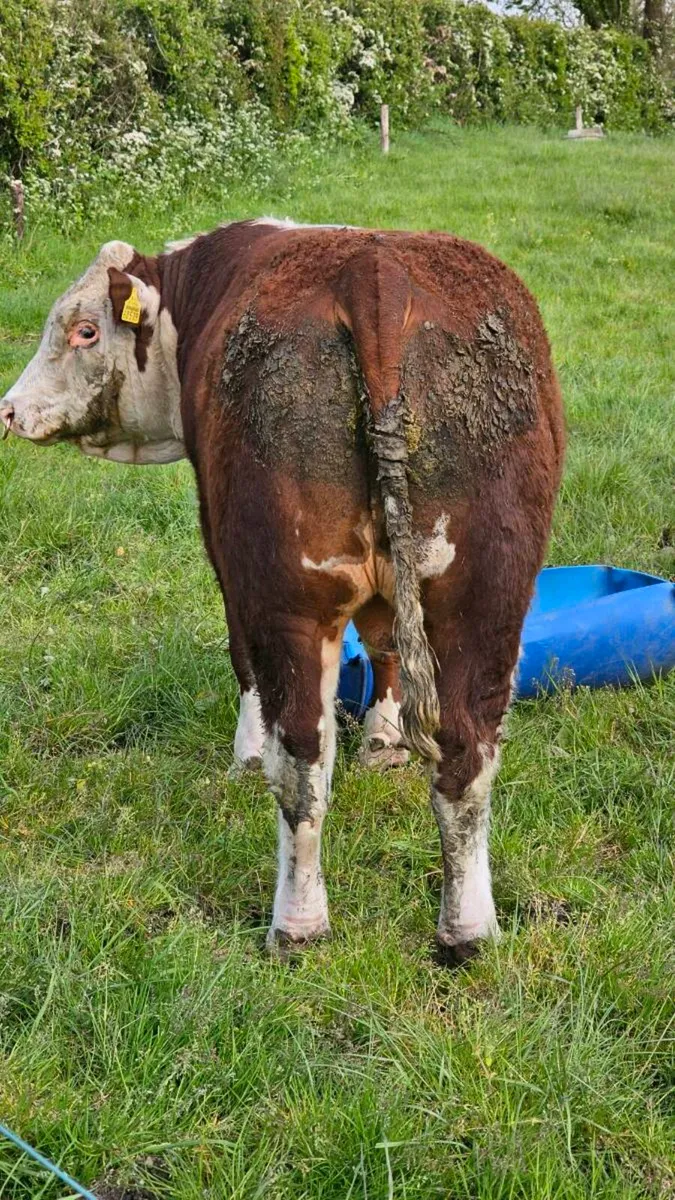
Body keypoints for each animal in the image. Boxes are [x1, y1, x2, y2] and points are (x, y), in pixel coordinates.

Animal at [1, 220, 564, 963]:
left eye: (84, 330)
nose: (10, 410)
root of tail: (376, 273)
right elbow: (385, 643)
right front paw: (385, 742)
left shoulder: (222, 540)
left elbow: (243, 660)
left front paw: (246, 753)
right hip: (484, 598)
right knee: (465, 755)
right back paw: (467, 932)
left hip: (288, 594)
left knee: (301, 759)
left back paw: (298, 927)